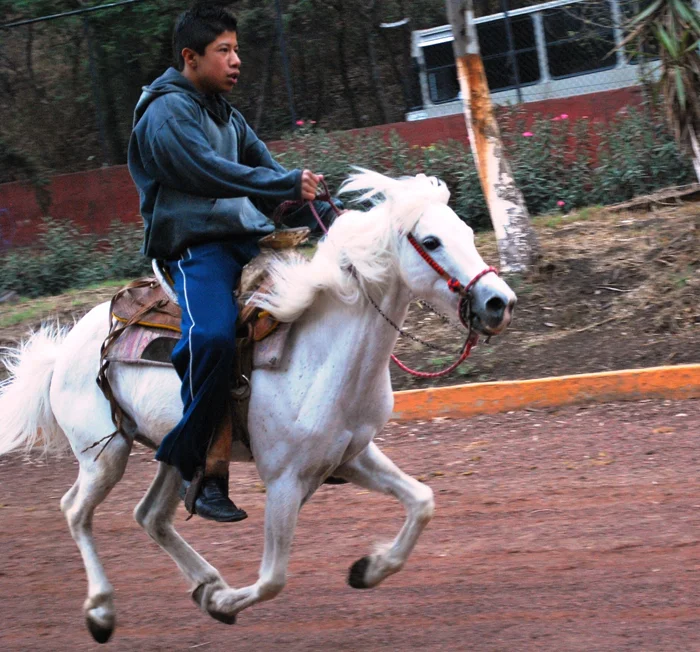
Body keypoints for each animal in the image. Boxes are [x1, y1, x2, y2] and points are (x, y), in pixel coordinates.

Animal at [0, 171, 516, 644]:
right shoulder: (286, 481)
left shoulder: (350, 457)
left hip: (177, 451)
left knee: (150, 516)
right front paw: (228, 602)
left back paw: (206, 583)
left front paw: (368, 568)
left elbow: (422, 502)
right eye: (430, 240)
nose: (499, 302)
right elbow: (273, 578)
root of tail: (64, 350)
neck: (326, 351)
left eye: (465, 231)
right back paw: (104, 610)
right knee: (75, 511)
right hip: (104, 456)